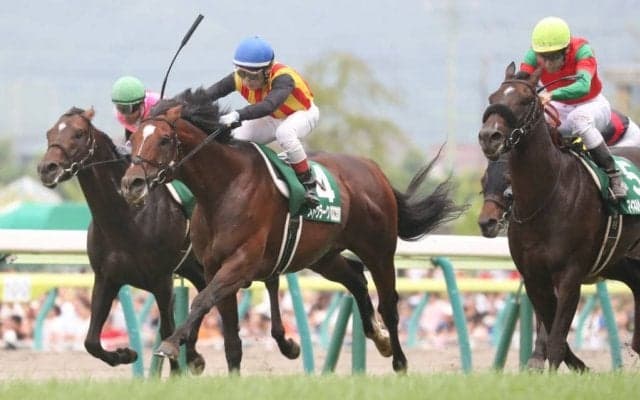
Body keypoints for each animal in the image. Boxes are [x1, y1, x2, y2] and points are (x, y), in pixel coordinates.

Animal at [37, 107, 300, 375]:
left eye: (78, 133)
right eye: (49, 133)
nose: (47, 168)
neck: (127, 217)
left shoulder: (161, 280)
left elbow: (166, 328)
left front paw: (174, 368)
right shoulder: (106, 278)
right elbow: (91, 341)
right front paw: (126, 354)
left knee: (266, 283)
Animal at [118, 88, 465, 373]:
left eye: (164, 140)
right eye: (132, 140)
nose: (131, 183)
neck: (223, 188)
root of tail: (373, 168)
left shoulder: (240, 263)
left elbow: (201, 300)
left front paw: (169, 345)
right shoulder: (215, 265)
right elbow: (230, 336)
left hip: (378, 250)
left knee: (390, 303)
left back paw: (399, 360)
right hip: (323, 255)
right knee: (355, 278)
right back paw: (377, 337)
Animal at [478, 62, 640, 370]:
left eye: (526, 100)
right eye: (493, 97)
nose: (488, 137)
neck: (546, 197)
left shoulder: (570, 274)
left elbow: (557, 332)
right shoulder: (533, 275)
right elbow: (551, 326)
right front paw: (554, 364)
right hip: (619, 259)